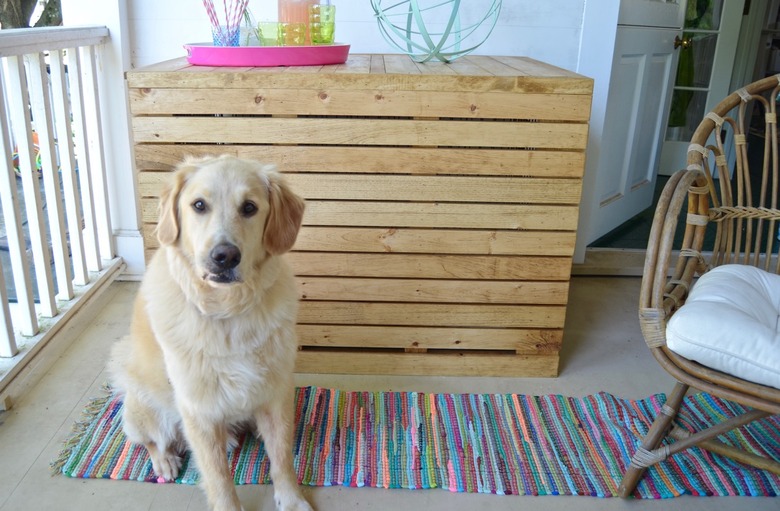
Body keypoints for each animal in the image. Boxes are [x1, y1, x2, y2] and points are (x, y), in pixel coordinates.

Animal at [109, 156, 310, 511]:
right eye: (199, 205)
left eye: (249, 207)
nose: (224, 256)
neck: (228, 311)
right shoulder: (198, 409)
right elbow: (218, 477)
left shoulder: (277, 392)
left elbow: (282, 455)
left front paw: (291, 500)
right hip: (144, 408)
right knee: (151, 441)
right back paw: (165, 461)